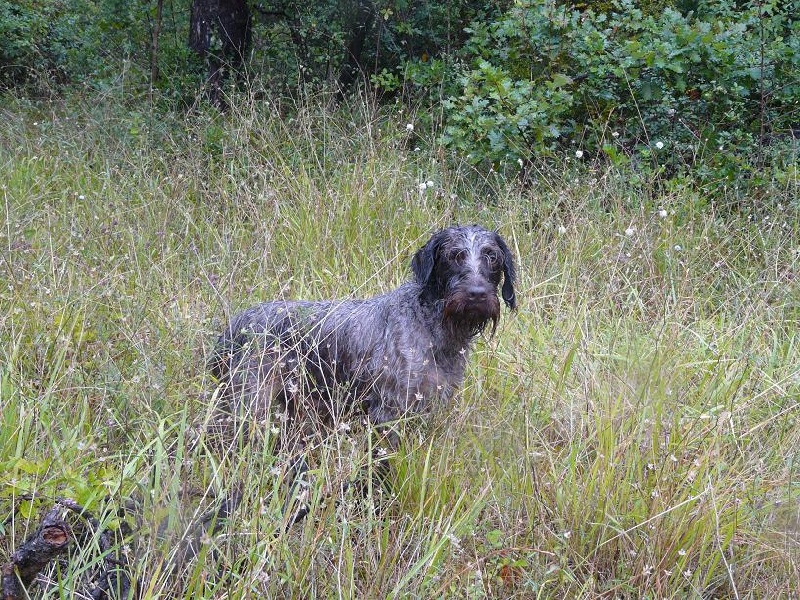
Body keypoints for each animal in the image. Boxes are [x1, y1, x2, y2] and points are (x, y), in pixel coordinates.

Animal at [209, 226, 516, 520]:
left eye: (492, 256)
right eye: (454, 256)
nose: (477, 294)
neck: (431, 324)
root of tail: (234, 326)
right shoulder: (388, 415)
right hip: (248, 409)